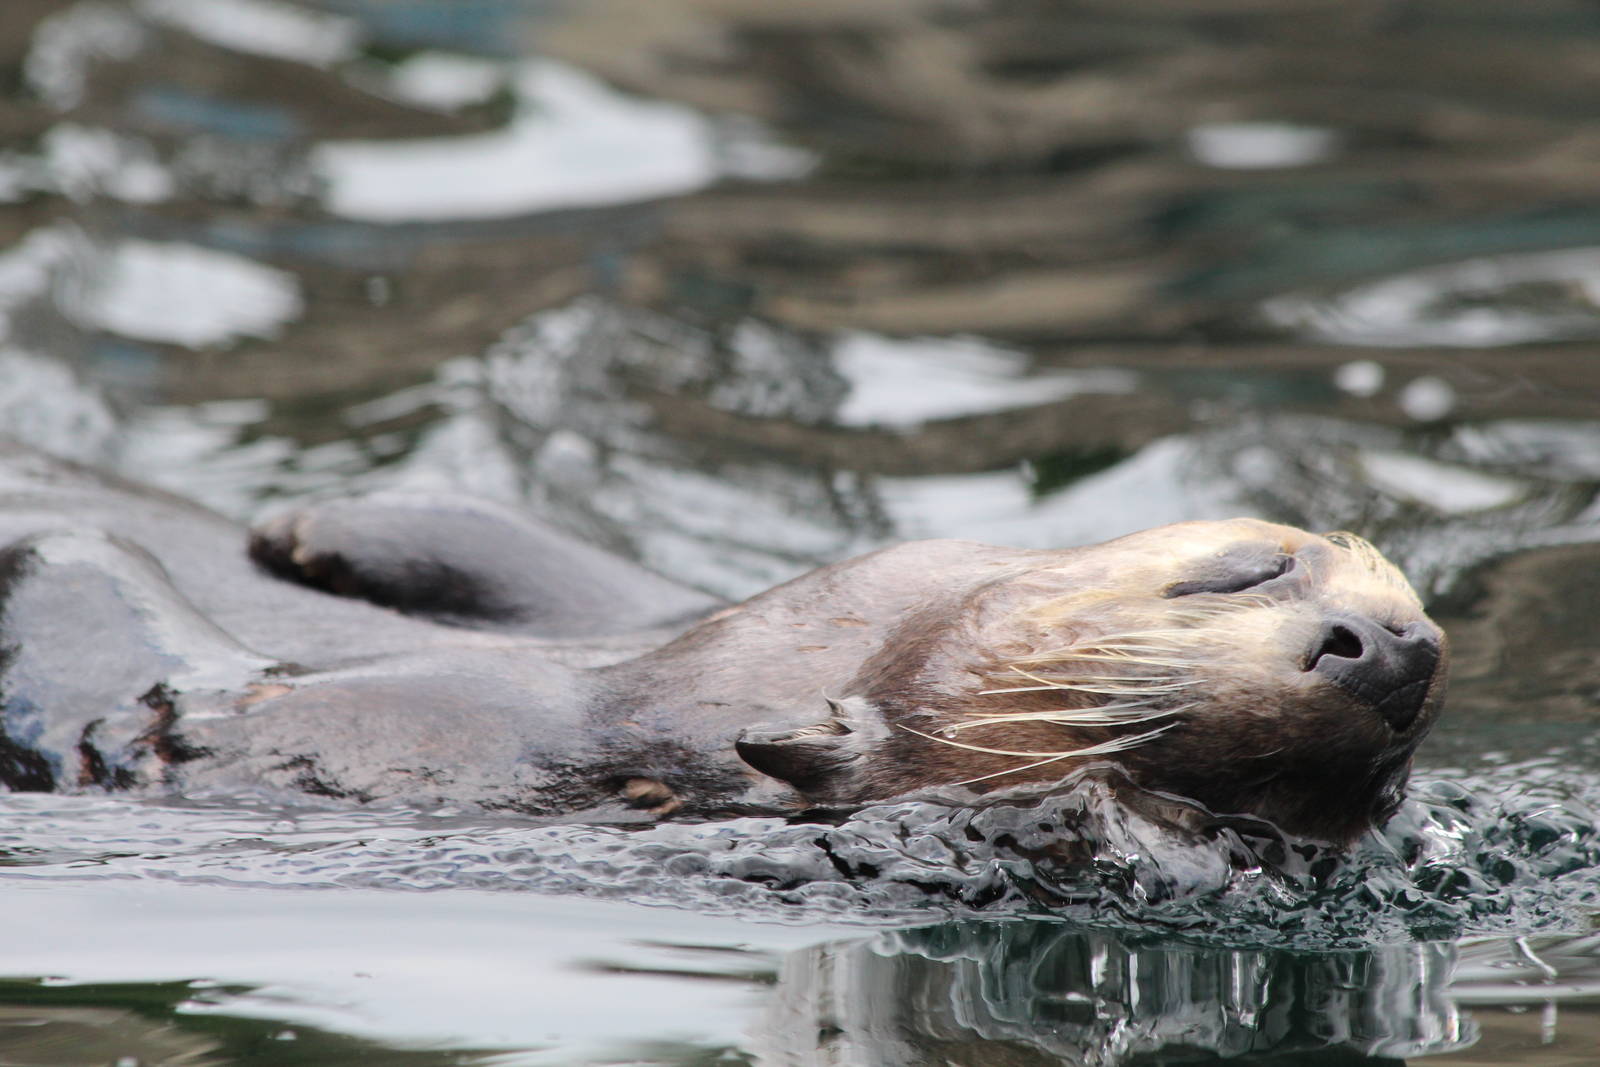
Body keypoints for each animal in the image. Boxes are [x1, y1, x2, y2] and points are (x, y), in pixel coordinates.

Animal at [0, 440, 1447, 843]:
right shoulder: (656, 613)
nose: (1387, 654)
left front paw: (72, 552)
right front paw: (311, 527)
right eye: (1249, 566)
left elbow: (147, 682)